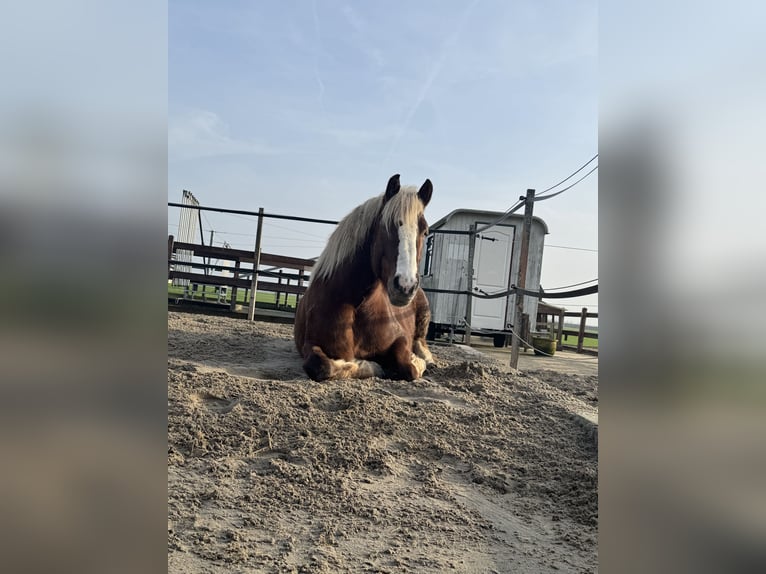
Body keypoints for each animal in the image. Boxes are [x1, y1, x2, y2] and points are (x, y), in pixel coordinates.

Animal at [294, 174, 435, 381]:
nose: (405, 287)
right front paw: (372, 365)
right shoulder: (310, 344)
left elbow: (408, 367)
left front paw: (416, 361)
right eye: (386, 227)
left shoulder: (400, 338)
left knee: (421, 343)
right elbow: (321, 366)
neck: (357, 305)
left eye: (425, 231)